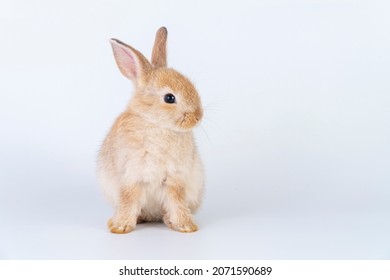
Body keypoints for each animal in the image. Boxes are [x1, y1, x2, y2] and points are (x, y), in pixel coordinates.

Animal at [97, 26, 204, 234]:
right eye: (169, 98)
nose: (198, 116)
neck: (156, 123)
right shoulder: (131, 176)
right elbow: (129, 200)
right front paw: (120, 227)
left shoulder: (174, 179)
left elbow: (176, 201)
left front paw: (185, 226)